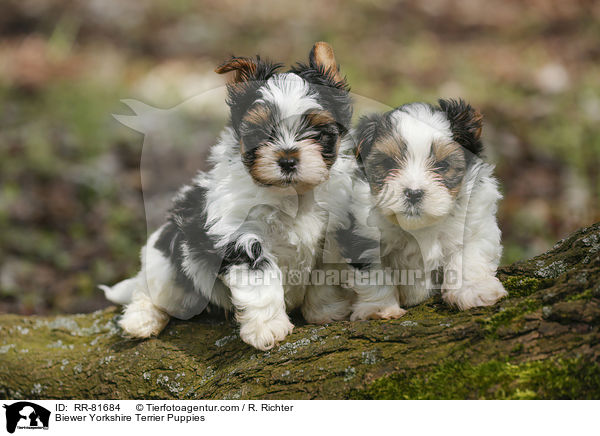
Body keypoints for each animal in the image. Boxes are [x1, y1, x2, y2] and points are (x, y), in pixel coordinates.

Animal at [102, 42, 356, 350]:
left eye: (319, 133)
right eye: (260, 132)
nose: (287, 160)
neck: (292, 195)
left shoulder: (331, 232)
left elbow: (326, 277)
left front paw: (325, 312)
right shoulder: (241, 235)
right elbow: (260, 279)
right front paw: (267, 328)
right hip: (168, 264)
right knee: (152, 291)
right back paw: (141, 320)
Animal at [338, 99, 506, 320]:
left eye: (442, 166)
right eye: (389, 163)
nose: (413, 193)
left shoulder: (475, 222)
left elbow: (469, 255)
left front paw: (474, 291)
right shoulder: (363, 236)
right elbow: (374, 273)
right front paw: (380, 309)